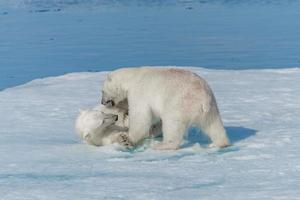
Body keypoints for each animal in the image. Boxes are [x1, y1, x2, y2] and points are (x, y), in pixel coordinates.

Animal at [101, 67, 230, 150]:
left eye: (102, 91)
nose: (102, 102)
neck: (132, 77)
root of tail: (203, 98)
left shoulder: (140, 92)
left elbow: (141, 117)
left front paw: (127, 138)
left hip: (179, 103)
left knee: (172, 124)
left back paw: (163, 145)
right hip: (211, 106)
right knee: (213, 124)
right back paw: (220, 143)